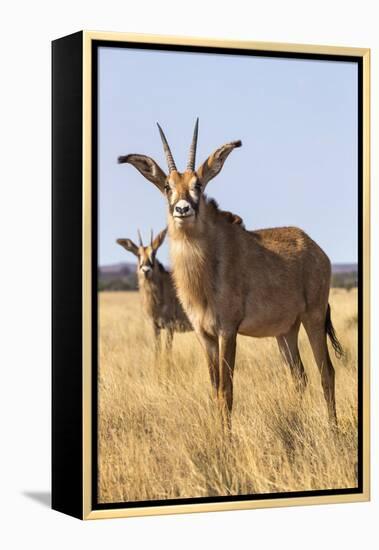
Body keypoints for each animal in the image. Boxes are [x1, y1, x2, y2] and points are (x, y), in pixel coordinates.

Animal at [119, 121, 344, 430]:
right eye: (167, 186)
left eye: (198, 185)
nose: (182, 209)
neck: (206, 265)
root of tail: (315, 248)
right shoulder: (205, 335)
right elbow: (214, 389)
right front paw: (218, 434)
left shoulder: (227, 331)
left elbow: (227, 390)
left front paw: (226, 438)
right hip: (286, 331)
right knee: (299, 376)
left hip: (314, 317)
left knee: (326, 372)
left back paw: (333, 430)